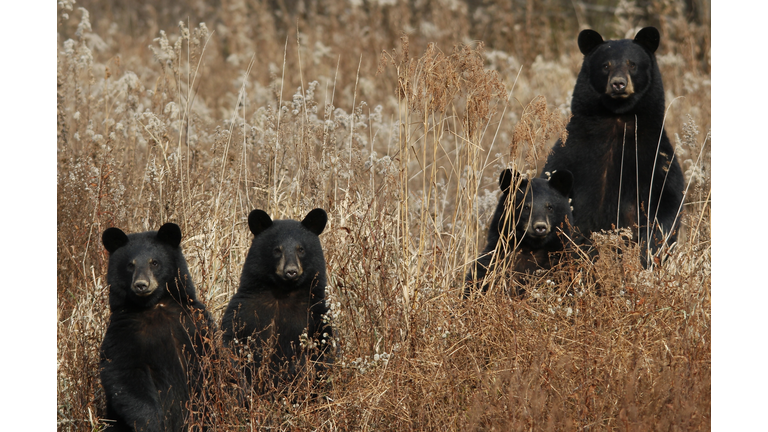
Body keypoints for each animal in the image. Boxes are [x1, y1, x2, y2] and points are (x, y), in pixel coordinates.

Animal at [100, 223, 213, 432]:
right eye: (130, 265)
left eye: (154, 262)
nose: (141, 285)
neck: (155, 305)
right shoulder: (123, 332)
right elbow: (125, 375)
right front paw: (152, 423)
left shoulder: (194, 322)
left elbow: (213, 357)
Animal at [220, 209, 332, 388]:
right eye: (277, 250)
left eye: (301, 249)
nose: (291, 271)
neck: (283, 292)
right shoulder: (244, 308)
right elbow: (231, 339)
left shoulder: (316, 311)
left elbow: (323, 345)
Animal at [540, 27, 684, 264]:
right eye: (605, 65)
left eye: (632, 64)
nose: (618, 83)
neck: (618, 119)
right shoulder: (571, 152)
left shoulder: (653, 155)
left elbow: (666, 200)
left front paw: (648, 251)